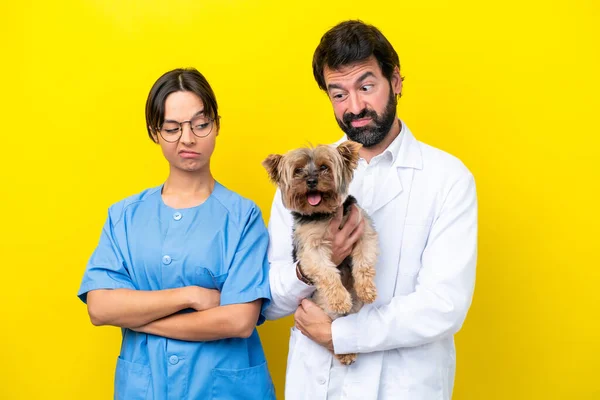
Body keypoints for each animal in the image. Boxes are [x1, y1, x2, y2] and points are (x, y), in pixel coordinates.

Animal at [262, 141, 376, 366]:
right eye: (298, 170)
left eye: (324, 167)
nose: (312, 181)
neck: (324, 214)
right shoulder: (311, 250)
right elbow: (328, 273)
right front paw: (340, 299)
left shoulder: (363, 229)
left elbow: (364, 262)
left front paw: (367, 290)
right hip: (322, 303)